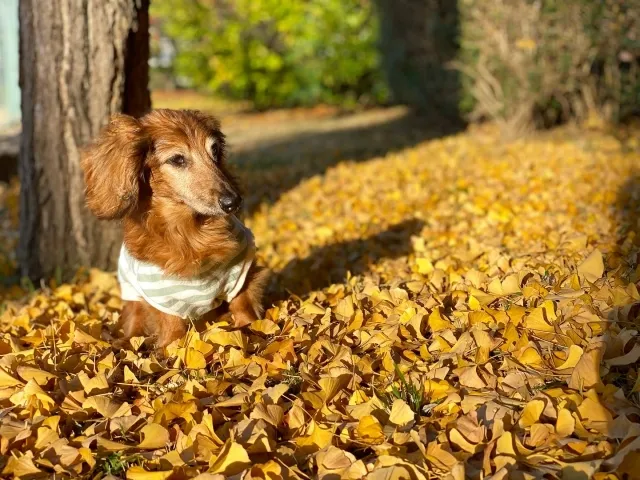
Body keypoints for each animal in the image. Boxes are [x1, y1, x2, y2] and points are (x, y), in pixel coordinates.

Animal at [82, 108, 268, 348]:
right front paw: (174, 349)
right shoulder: (160, 295)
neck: (190, 232)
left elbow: (242, 303)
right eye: (177, 159)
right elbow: (172, 325)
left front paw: (251, 330)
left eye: (215, 151)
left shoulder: (240, 269)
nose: (233, 202)